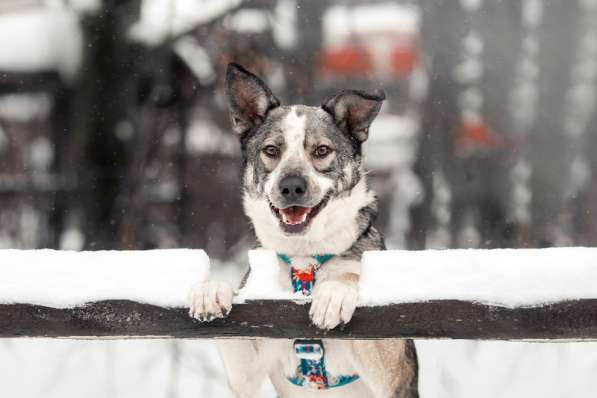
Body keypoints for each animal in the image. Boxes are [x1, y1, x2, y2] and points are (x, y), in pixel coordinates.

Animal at [189, 63, 416, 398]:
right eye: (271, 150)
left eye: (321, 150)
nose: (292, 186)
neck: (304, 259)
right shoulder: (249, 362)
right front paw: (211, 290)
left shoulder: (391, 366)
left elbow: (351, 276)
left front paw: (334, 293)